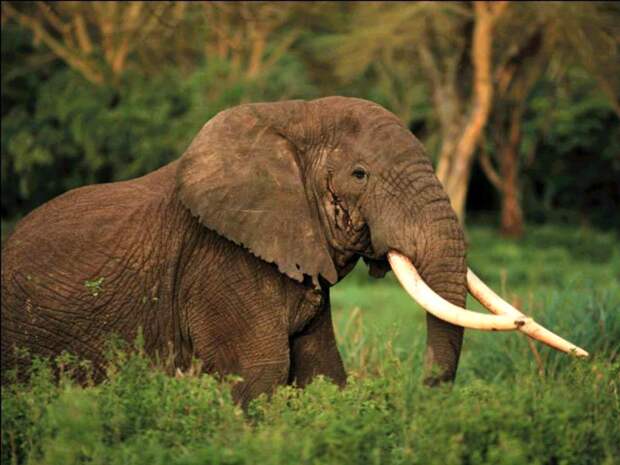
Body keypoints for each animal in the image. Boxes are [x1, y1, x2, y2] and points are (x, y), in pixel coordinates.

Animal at [1, 96, 588, 404]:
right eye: (359, 174)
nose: (422, 391)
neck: (287, 115)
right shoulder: (220, 261)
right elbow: (259, 373)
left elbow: (322, 373)